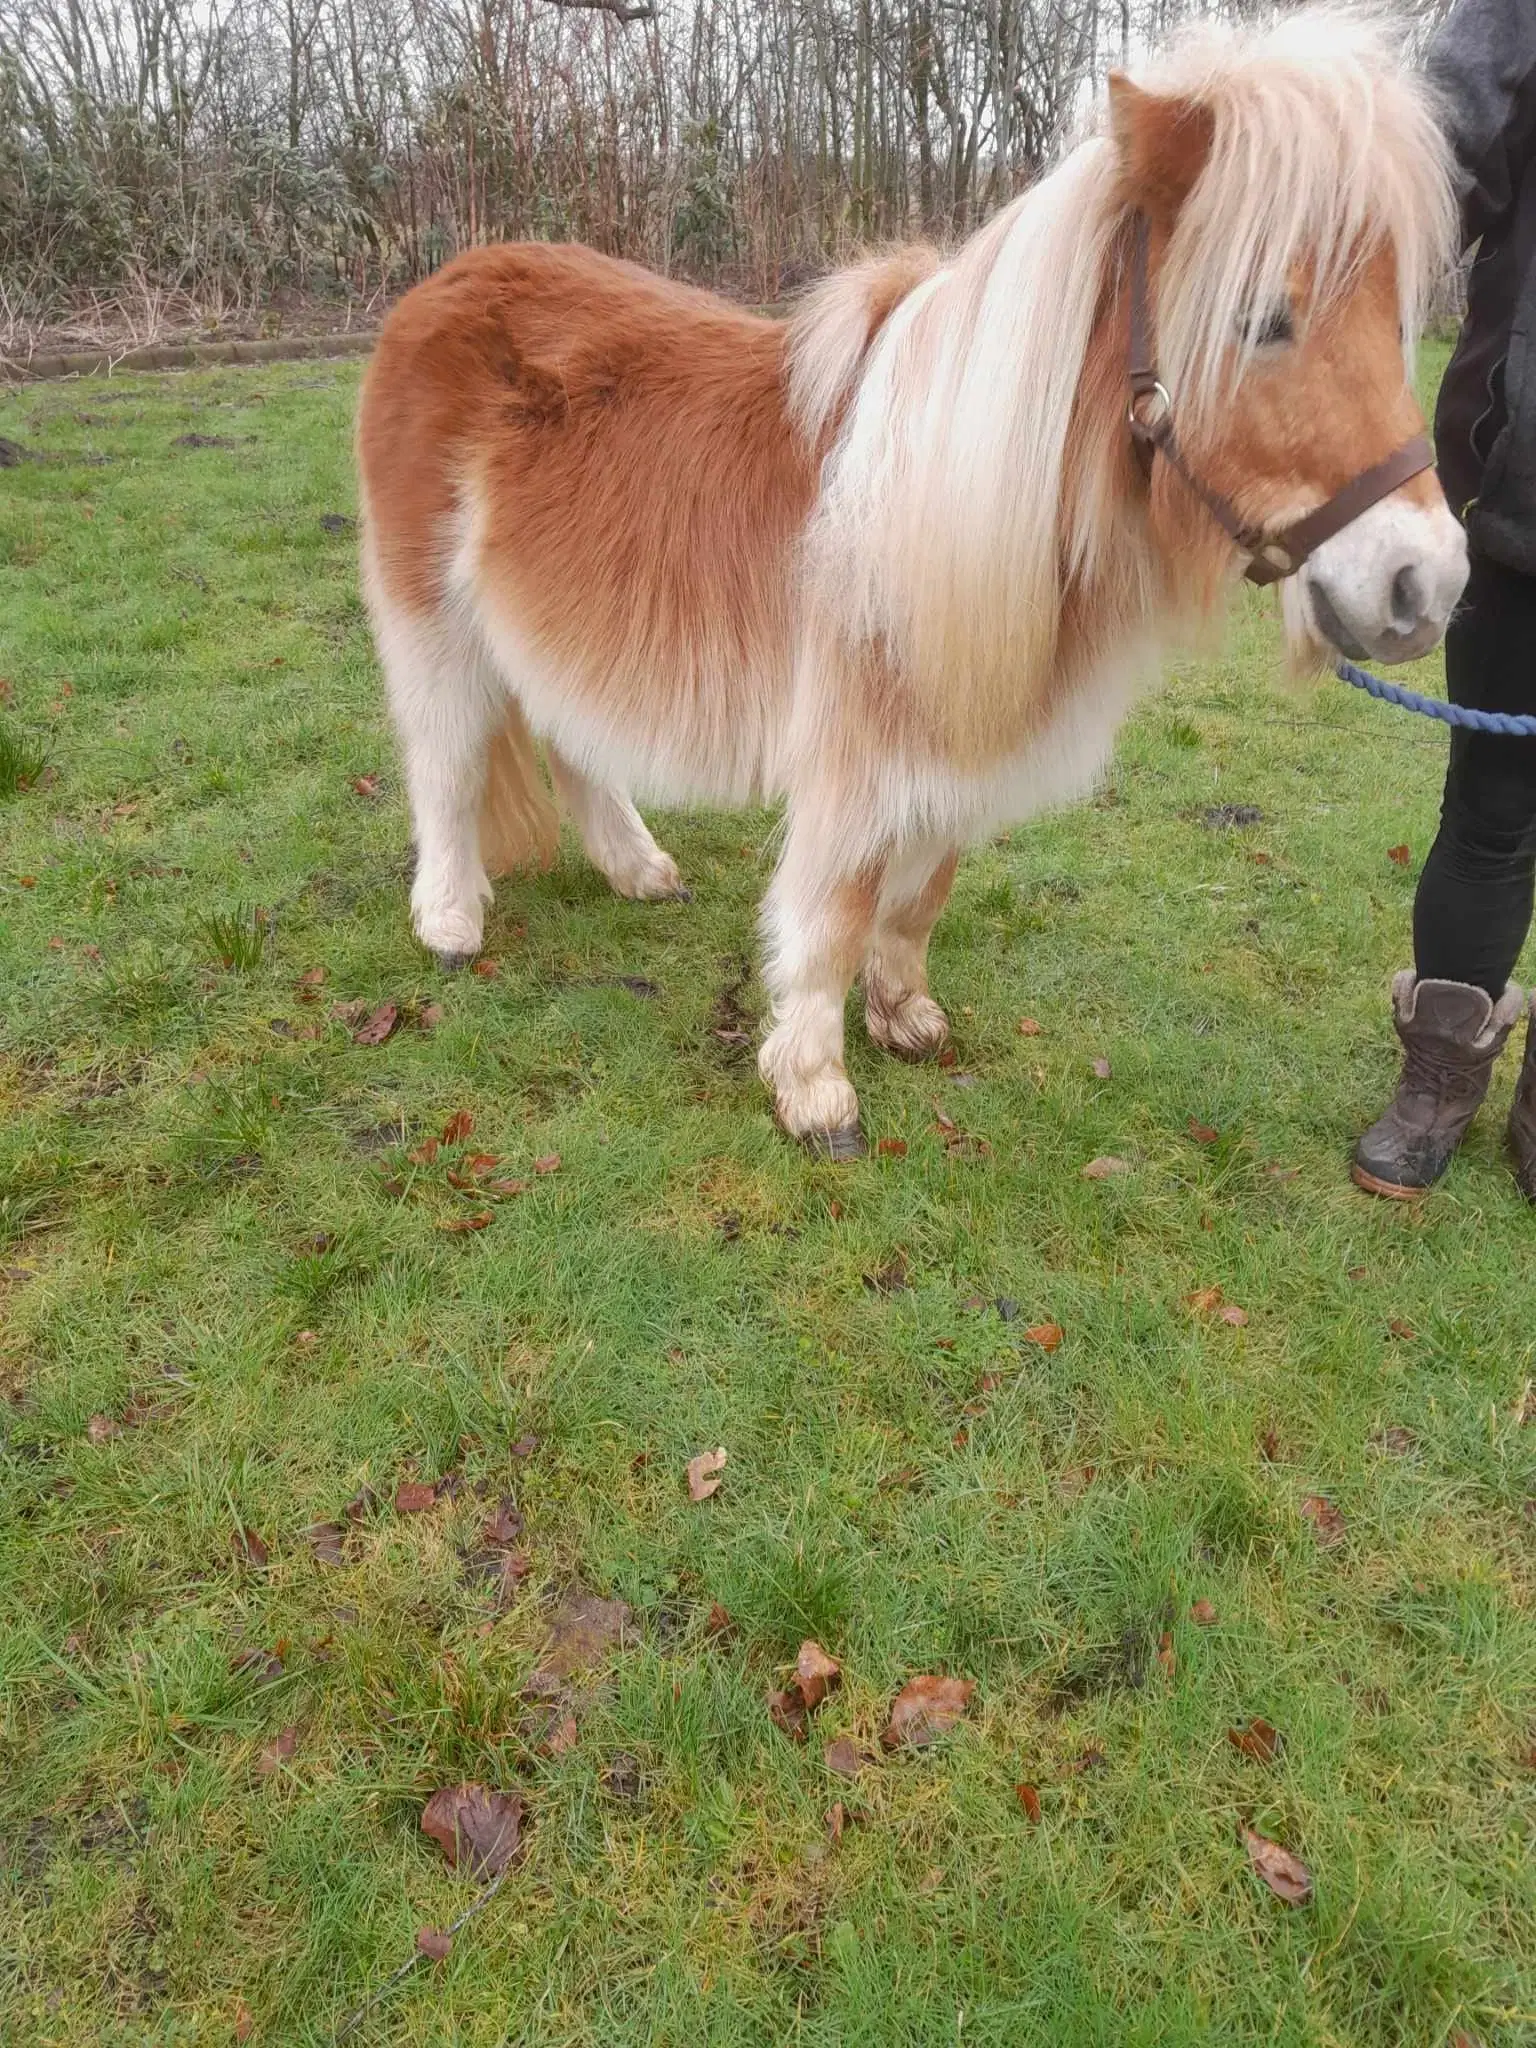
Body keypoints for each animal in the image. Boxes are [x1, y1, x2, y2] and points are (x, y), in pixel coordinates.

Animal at [358, 4, 1466, 1155]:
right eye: (1260, 320)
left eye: (1395, 320)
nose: (1423, 584)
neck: (948, 494)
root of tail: (440, 284)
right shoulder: (857, 751)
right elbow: (838, 909)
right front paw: (813, 1087)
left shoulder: (955, 734)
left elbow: (921, 889)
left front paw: (903, 1016)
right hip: (430, 614)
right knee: (443, 759)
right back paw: (450, 919)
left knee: (568, 735)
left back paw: (638, 867)